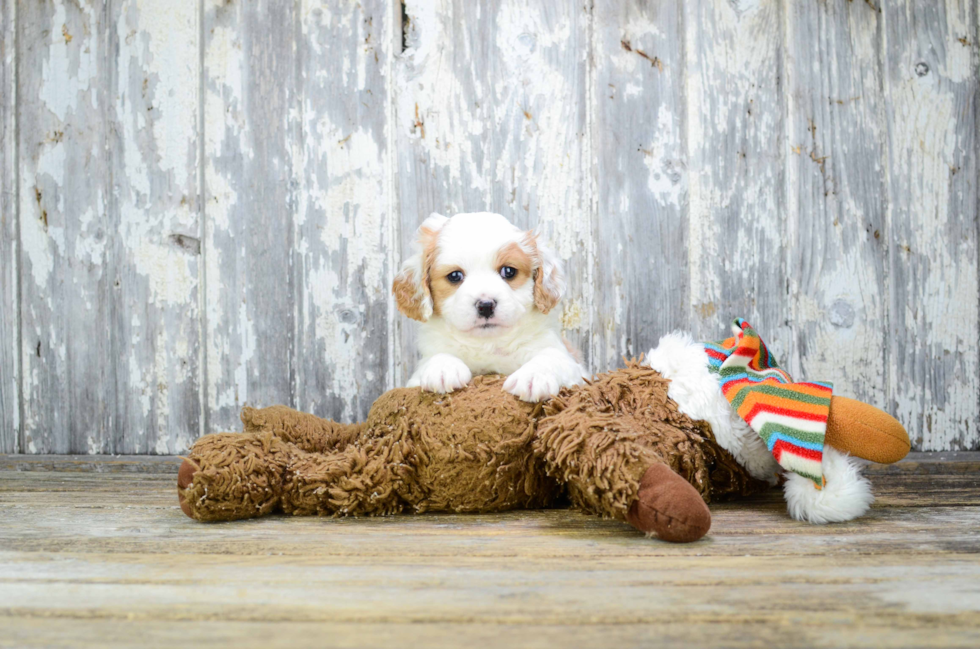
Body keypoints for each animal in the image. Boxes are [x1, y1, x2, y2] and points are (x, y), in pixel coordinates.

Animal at [392, 213, 588, 400]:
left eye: (509, 271)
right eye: (455, 276)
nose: (485, 305)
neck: (488, 344)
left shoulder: (570, 362)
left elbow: (551, 357)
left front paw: (533, 377)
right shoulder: (417, 373)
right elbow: (437, 356)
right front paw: (442, 368)